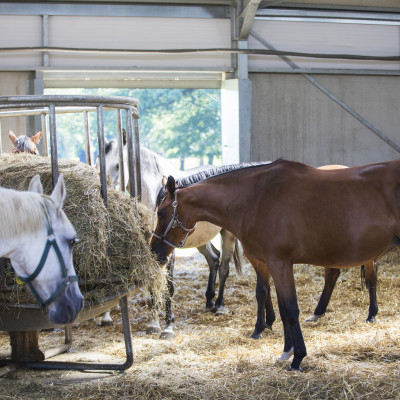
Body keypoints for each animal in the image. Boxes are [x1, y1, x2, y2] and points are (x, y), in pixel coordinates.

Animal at [97, 135, 241, 338]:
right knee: (214, 259)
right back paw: (209, 302)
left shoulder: (168, 249)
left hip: (227, 234)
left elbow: (169, 286)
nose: (107, 198)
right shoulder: (153, 249)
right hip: (199, 239)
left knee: (224, 267)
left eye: (118, 165)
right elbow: (153, 284)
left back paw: (220, 306)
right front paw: (153, 323)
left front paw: (167, 326)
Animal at [150, 159, 400, 372]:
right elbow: (278, 305)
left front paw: (297, 357)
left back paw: (370, 314)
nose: (154, 252)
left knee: (368, 276)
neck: (255, 198)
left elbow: (290, 308)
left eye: (161, 212)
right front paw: (286, 349)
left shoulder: (279, 262)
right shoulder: (271, 262)